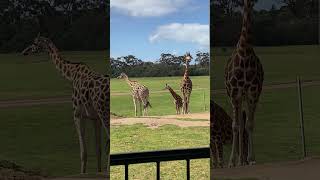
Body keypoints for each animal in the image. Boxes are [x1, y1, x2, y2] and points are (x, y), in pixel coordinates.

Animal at [21, 34, 110, 179]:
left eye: (34, 43)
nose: (24, 52)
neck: (71, 75)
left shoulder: (77, 114)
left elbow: (83, 152)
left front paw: (83, 173)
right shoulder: (94, 118)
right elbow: (98, 149)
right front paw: (99, 171)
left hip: (104, 112)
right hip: (102, 114)